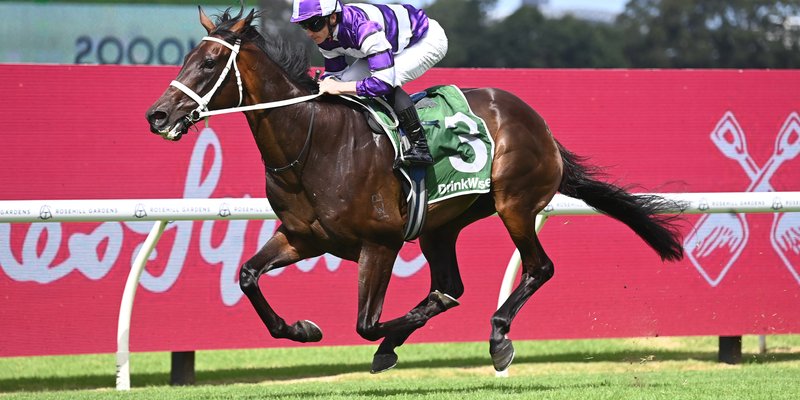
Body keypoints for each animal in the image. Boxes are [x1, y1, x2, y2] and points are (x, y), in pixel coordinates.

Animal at [145, 7, 680, 376]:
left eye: (210, 61)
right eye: (188, 56)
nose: (157, 115)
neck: (313, 143)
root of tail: (539, 125)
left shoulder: (378, 244)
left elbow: (365, 324)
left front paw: (383, 341)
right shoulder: (302, 237)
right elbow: (247, 277)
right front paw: (302, 328)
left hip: (514, 203)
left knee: (537, 267)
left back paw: (499, 338)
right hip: (441, 225)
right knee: (453, 284)